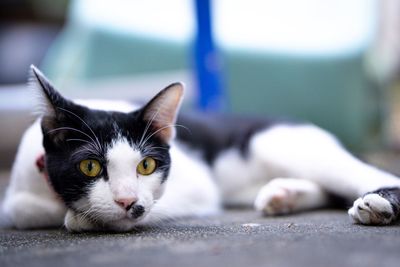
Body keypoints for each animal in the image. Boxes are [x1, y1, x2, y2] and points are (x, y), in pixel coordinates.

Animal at [0, 65, 400, 232]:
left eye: (146, 166)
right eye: (90, 167)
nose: (129, 202)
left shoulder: (198, 185)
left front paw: (83, 218)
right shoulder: (20, 188)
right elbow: (19, 208)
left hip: (279, 142)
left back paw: (376, 206)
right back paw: (282, 195)